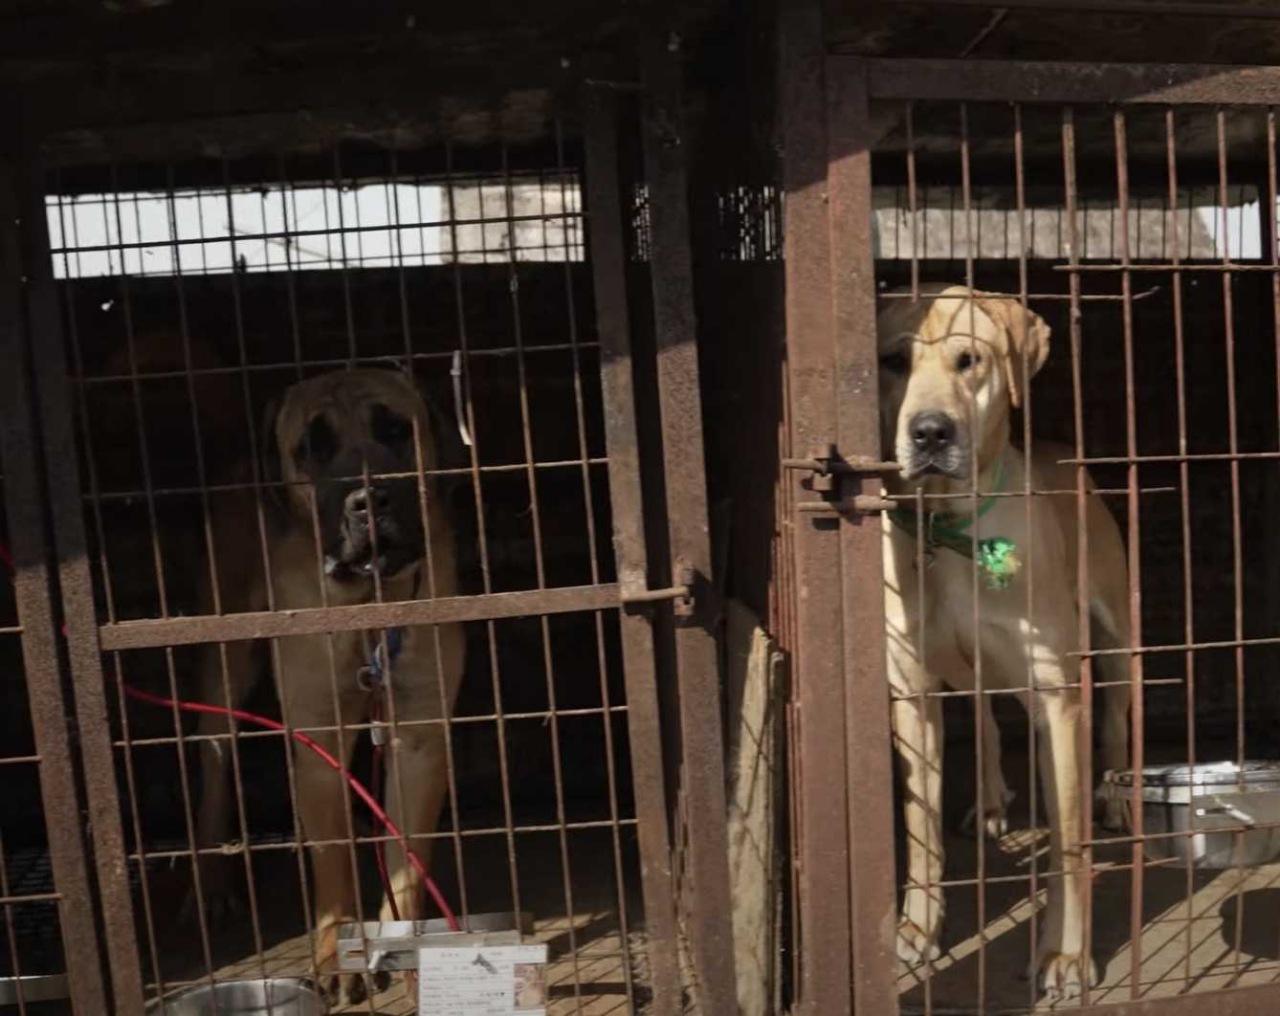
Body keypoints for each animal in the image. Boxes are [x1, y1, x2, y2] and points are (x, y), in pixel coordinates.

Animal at [189, 363, 465, 998]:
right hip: (225, 670)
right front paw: (336, 956)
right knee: (215, 766)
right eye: (311, 447)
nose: (369, 499)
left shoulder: (419, 737)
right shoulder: (317, 740)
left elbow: (406, 859)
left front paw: (404, 946)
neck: (366, 607)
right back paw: (213, 884)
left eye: (395, 428)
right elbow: (332, 861)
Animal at [880, 282, 1131, 998]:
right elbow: (920, 828)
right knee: (988, 721)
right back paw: (991, 803)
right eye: (893, 361)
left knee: (1114, 718)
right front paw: (917, 929)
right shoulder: (912, 694)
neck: (949, 528)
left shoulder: (1055, 694)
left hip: (1115, 634)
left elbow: (1068, 844)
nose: (930, 432)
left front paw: (1066, 956)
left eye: (970, 361)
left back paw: (1116, 798)